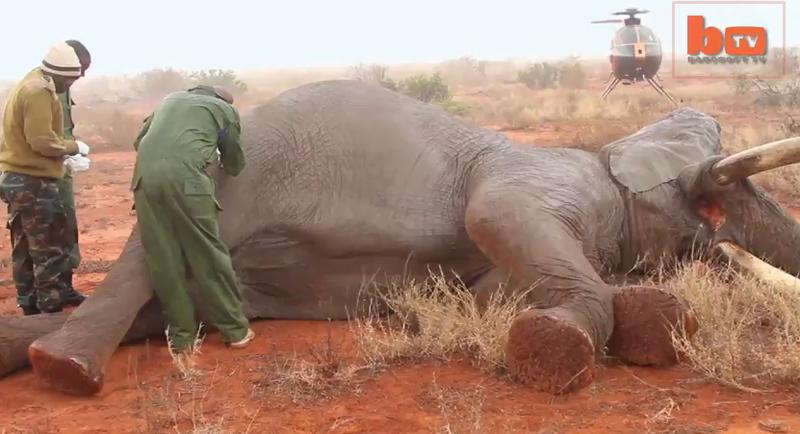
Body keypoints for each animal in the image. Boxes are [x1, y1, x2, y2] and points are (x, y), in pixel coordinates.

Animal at [1, 79, 799, 397]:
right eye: (719, 191)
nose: (723, 235)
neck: (610, 157)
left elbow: (482, 295)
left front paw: (658, 320)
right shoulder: (534, 179)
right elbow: (492, 216)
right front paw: (557, 347)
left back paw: (35, 353)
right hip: (231, 173)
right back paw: (66, 371)